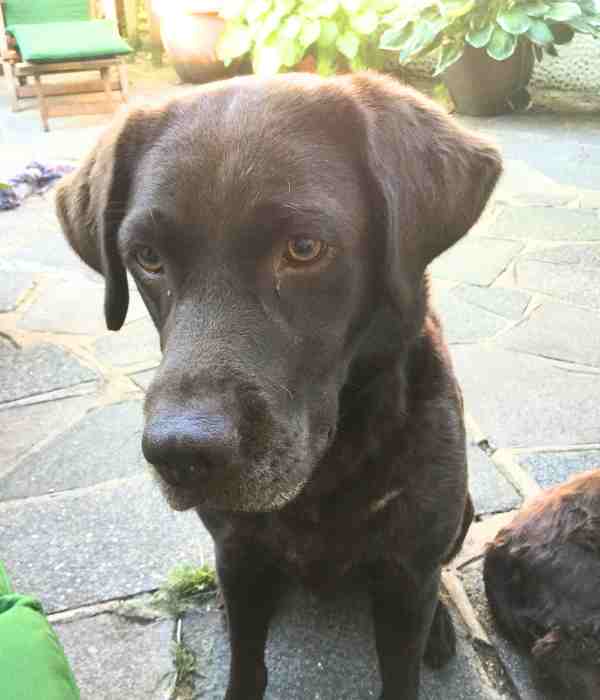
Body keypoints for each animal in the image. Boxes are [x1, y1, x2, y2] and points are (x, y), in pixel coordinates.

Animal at [56, 74, 500, 696]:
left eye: (304, 248)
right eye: (147, 258)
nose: (180, 454)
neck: (324, 477)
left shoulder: (407, 569)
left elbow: (401, 663)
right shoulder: (238, 554)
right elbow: (247, 662)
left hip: (459, 516)